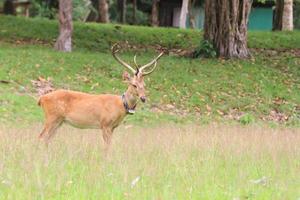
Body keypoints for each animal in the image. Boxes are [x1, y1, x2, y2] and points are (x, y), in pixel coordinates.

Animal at [37, 43, 165, 151]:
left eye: (145, 85)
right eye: (134, 85)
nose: (143, 98)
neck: (120, 105)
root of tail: (41, 99)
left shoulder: (113, 127)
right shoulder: (105, 124)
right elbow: (106, 147)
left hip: (59, 121)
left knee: (47, 138)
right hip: (52, 117)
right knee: (41, 136)